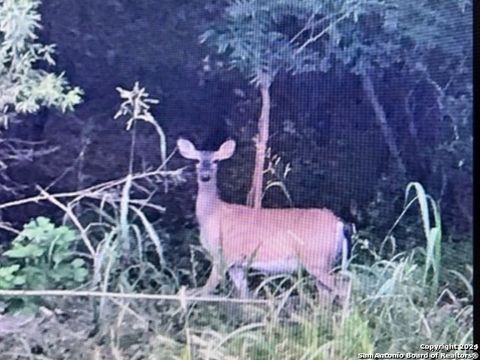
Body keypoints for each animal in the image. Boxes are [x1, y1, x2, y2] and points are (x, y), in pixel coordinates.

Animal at [178, 138, 350, 300]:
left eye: (216, 161)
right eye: (196, 160)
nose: (205, 176)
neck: (213, 214)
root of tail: (338, 223)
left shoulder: (222, 255)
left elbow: (204, 291)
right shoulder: (236, 264)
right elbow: (245, 296)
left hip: (316, 259)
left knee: (343, 286)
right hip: (324, 261)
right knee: (327, 292)